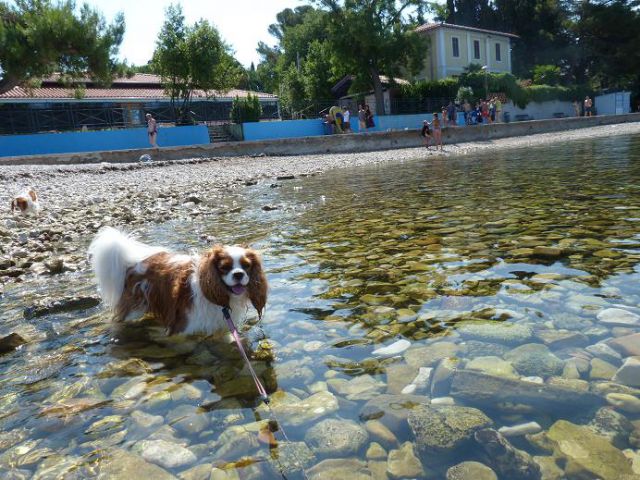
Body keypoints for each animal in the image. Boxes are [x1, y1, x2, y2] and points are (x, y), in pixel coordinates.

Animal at [89, 228, 268, 334]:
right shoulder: (183, 329)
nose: (238, 274)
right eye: (224, 267)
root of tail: (133, 264)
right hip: (133, 310)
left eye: (246, 266)